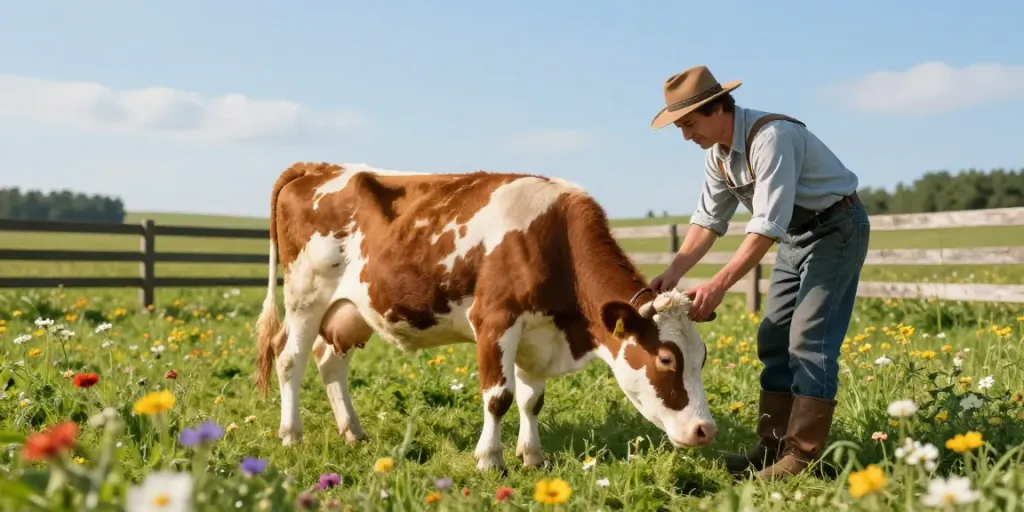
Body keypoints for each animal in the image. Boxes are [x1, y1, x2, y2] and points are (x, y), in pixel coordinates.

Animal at [252, 162, 717, 472]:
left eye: (703, 357)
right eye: (666, 359)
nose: (705, 431)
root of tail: (320, 167)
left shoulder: (538, 333)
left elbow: (532, 400)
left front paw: (533, 456)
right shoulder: (495, 321)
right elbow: (499, 397)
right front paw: (490, 459)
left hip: (348, 312)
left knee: (329, 362)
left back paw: (353, 432)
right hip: (305, 296)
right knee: (289, 359)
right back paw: (291, 435)